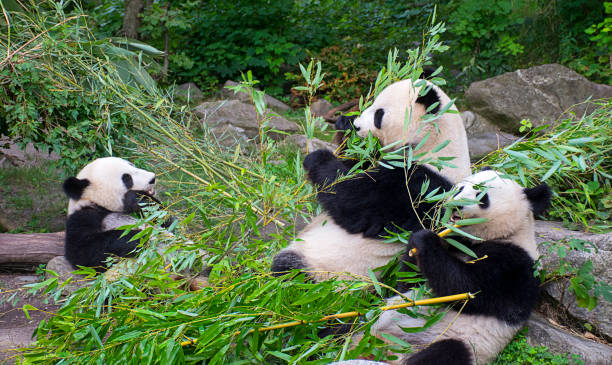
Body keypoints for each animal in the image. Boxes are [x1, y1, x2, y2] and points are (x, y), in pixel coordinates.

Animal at [272, 78, 468, 280]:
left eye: (379, 114)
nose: (358, 126)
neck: (434, 142)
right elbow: (355, 163)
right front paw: (346, 125)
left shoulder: (419, 186)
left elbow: (351, 200)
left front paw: (318, 157)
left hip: (328, 267)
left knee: (291, 269)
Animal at [368, 170, 556, 364]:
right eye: (460, 188)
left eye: (482, 197)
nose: (456, 204)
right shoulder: (456, 243)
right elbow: (410, 286)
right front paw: (416, 243)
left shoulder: (514, 266)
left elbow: (465, 287)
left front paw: (425, 239)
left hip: (455, 340)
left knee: (448, 352)